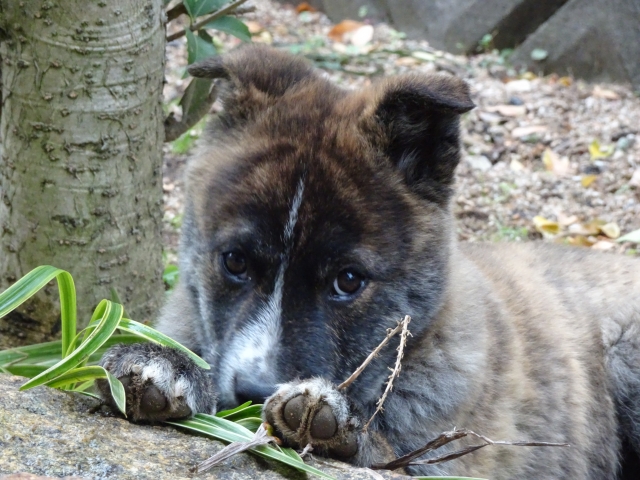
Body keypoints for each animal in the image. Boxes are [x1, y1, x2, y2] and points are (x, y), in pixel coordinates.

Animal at [96, 45, 640, 480]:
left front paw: (332, 424)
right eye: (234, 261)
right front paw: (163, 365)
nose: (252, 394)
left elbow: (385, 453)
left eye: (349, 280)